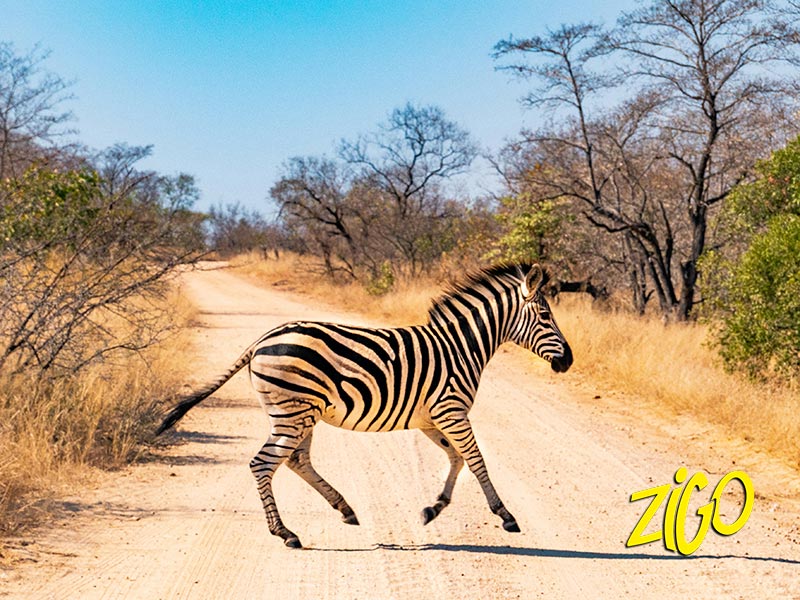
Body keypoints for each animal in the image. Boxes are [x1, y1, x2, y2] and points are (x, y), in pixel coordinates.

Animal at [157, 262, 573, 548]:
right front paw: (505, 515)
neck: (460, 347)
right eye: (545, 315)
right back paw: (286, 533)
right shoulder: (451, 409)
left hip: (300, 413)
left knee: (295, 460)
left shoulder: (432, 417)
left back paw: (344, 509)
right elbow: (476, 460)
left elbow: (456, 458)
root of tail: (262, 339)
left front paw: (433, 507)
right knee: (263, 463)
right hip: (292, 411)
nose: (568, 362)